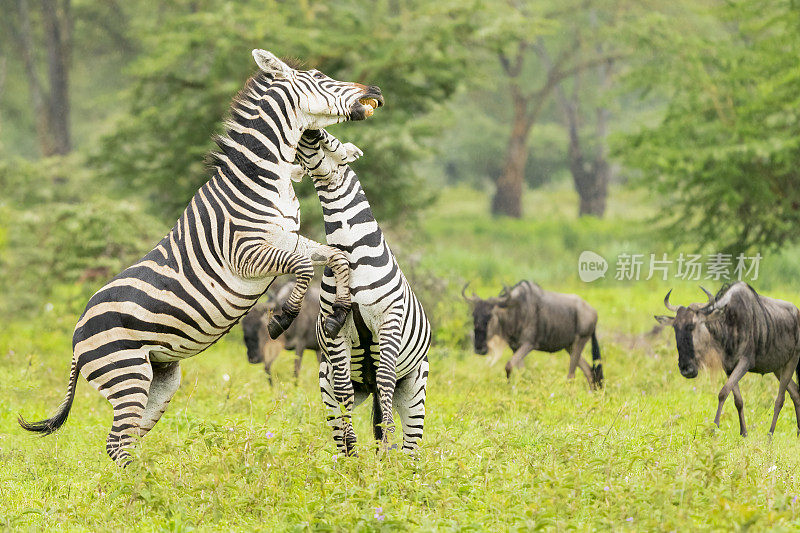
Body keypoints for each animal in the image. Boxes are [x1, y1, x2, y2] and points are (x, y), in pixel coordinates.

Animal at [15, 51, 384, 466]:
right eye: (321, 77)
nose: (375, 90)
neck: (261, 178)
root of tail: (76, 337)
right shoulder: (247, 254)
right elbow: (305, 268)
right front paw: (282, 317)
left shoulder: (288, 239)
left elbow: (336, 257)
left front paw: (338, 312)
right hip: (127, 374)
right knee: (116, 443)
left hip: (160, 378)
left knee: (124, 442)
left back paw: (148, 480)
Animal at [294, 128, 432, 454]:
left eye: (331, 140)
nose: (310, 129)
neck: (351, 251)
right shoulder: (336, 332)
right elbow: (345, 392)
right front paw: (354, 453)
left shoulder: (389, 320)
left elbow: (385, 377)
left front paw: (386, 444)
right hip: (326, 385)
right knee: (343, 412)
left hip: (414, 389)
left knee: (410, 443)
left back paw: (397, 462)